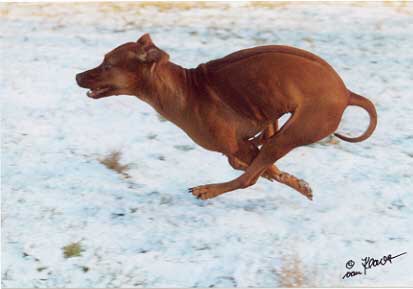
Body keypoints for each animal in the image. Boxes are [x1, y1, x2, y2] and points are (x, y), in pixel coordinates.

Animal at [75, 33, 376, 199]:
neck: (184, 90)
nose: (77, 76)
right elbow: (254, 161)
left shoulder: (235, 143)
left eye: (107, 65)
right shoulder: (261, 121)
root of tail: (346, 93)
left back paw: (207, 190)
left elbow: (252, 167)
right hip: (285, 122)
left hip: (297, 130)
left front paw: (283, 178)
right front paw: (291, 179)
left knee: (248, 178)